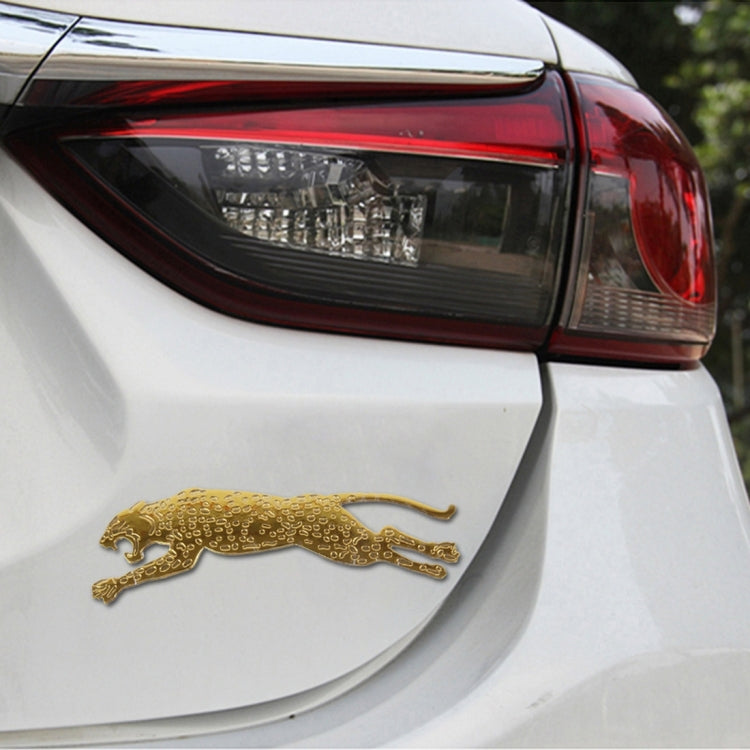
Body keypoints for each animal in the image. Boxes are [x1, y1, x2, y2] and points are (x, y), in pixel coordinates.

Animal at [92, 488, 460, 604]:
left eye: (114, 526)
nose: (100, 540)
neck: (163, 513)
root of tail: (325, 497)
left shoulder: (185, 553)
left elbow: (144, 571)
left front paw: (110, 585)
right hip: (344, 543)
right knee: (389, 532)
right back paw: (444, 554)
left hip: (344, 547)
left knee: (385, 542)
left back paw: (435, 566)